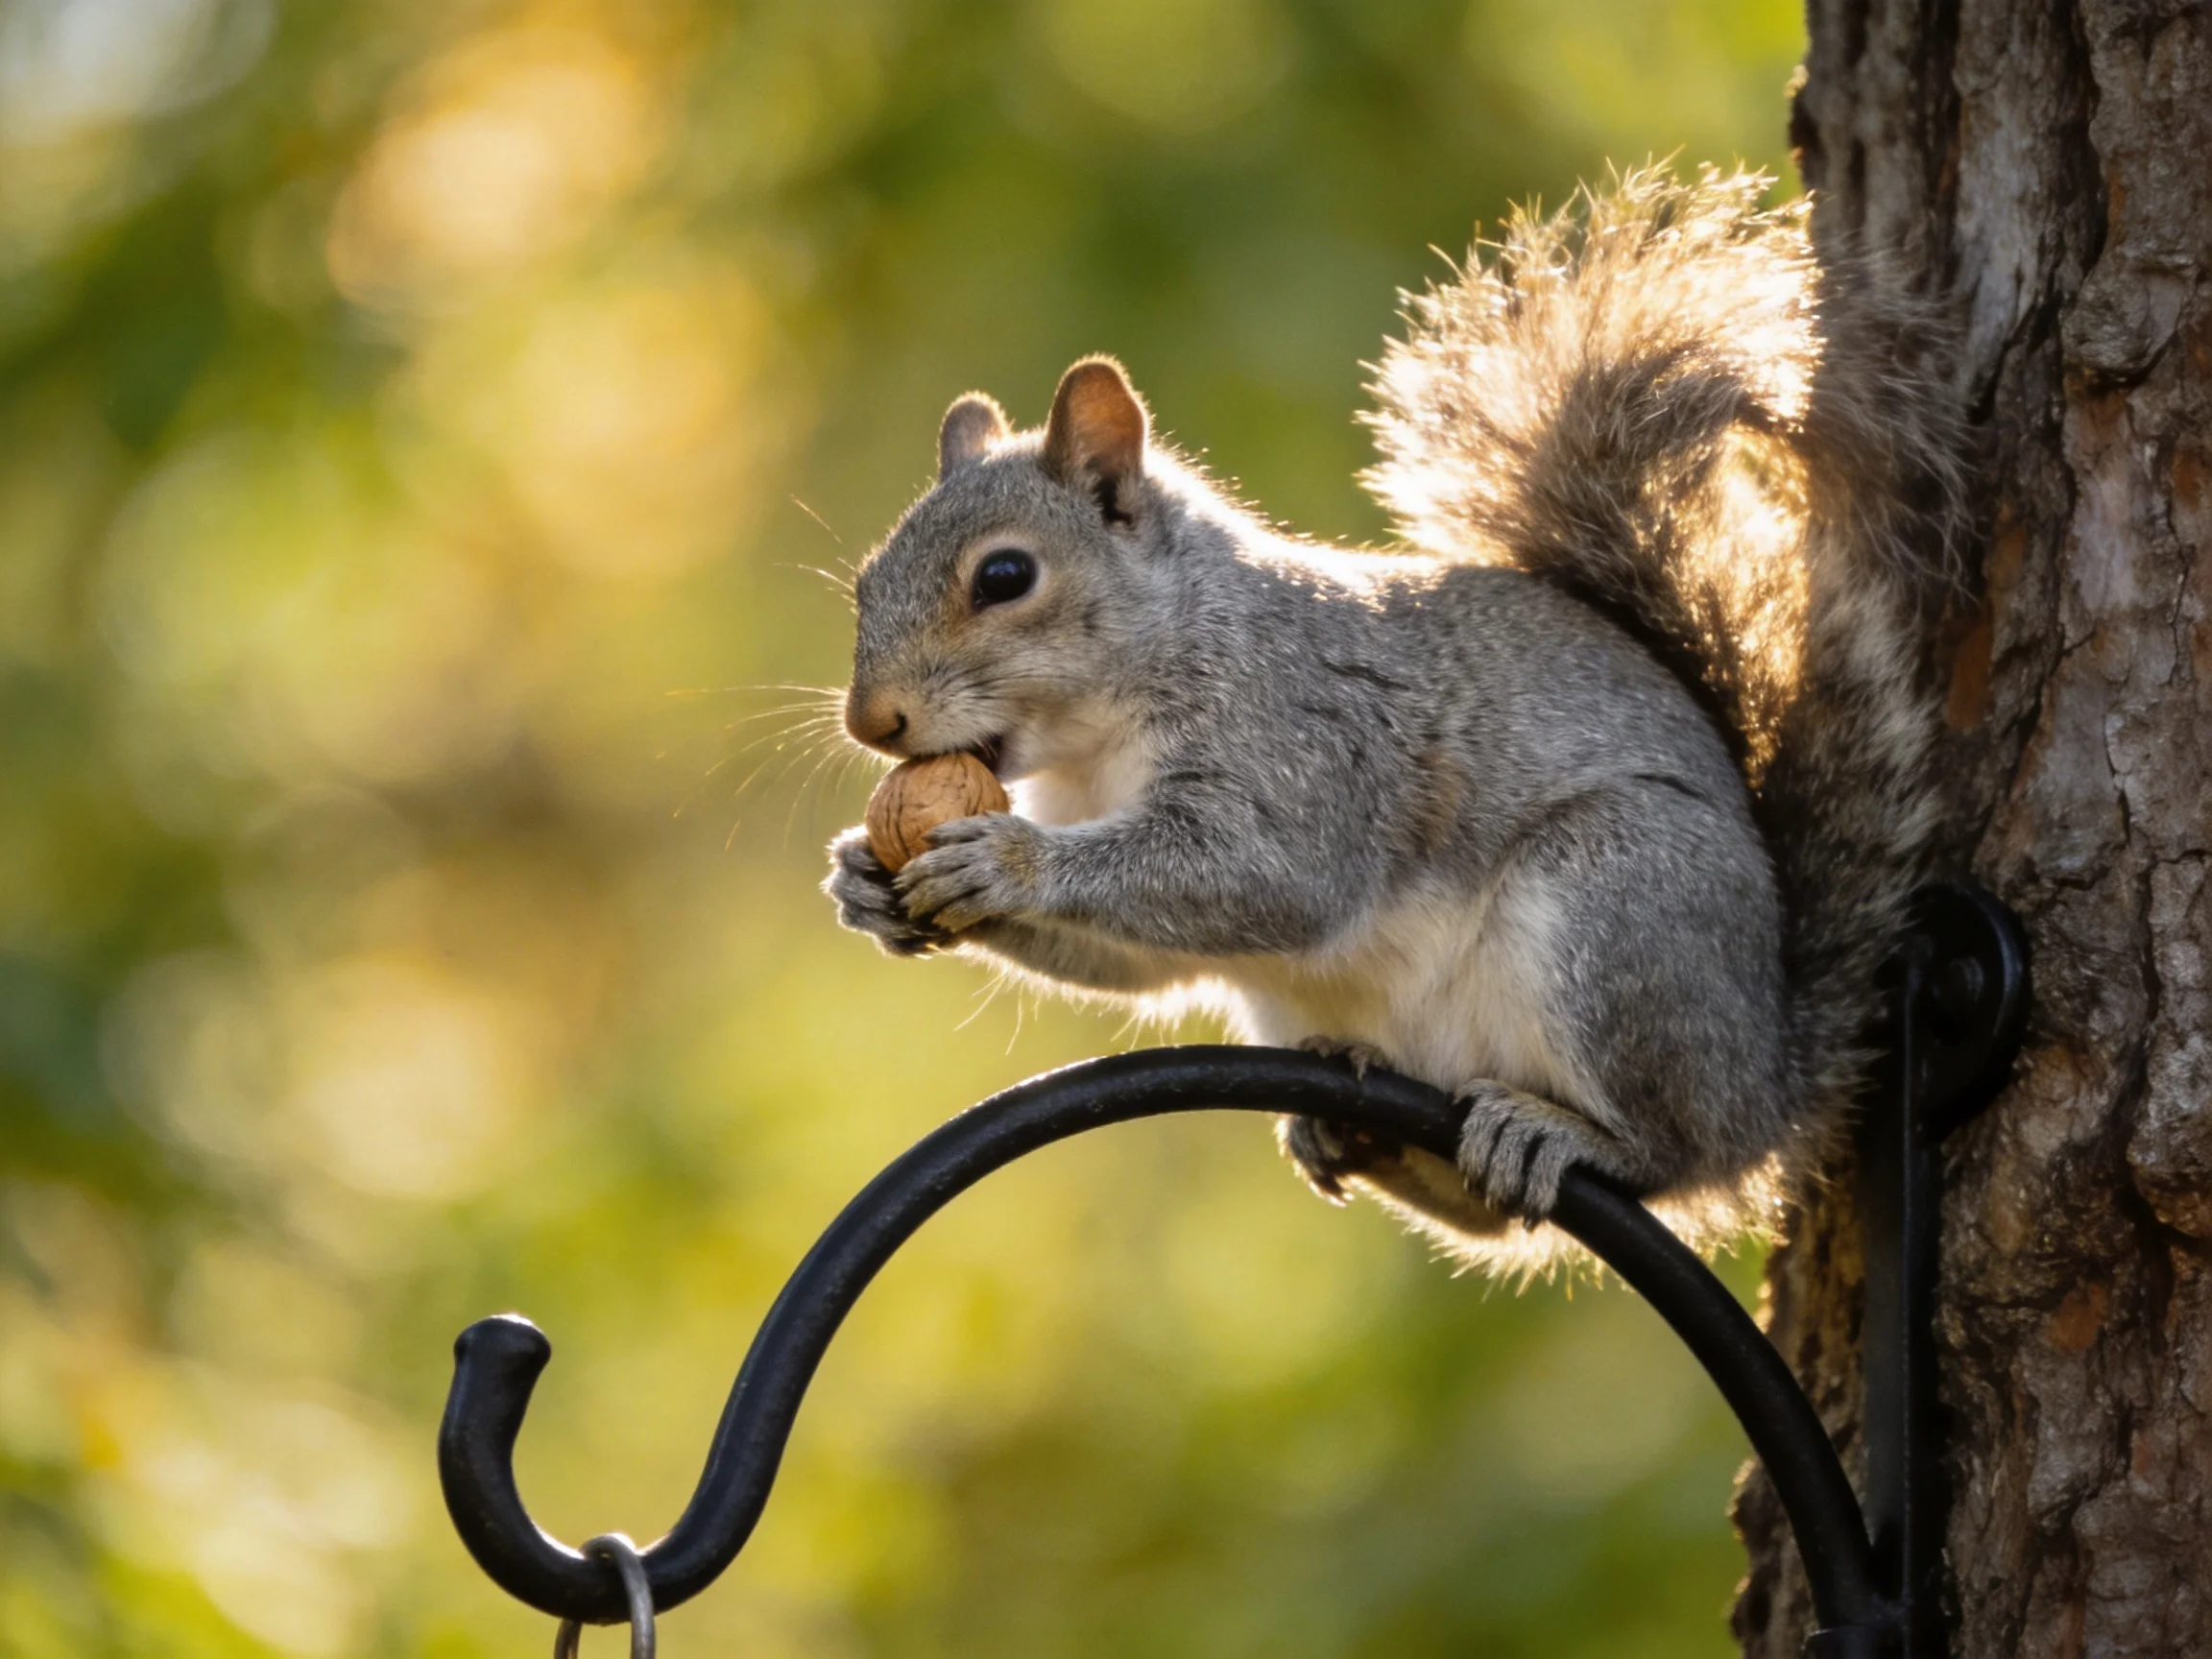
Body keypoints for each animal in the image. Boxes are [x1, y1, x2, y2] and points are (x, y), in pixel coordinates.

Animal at [822, 166, 1970, 1273]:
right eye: (863, 585)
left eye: (1005, 577)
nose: (873, 723)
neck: (1108, 728)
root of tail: (1771, 1078)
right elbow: (1146, 963)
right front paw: (867, 882)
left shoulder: (1304, 742)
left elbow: (1267, 878)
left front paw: (1004, 862)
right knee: (1489, 1211)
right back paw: (1361, 1131)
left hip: (1622, 901)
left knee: (1664, 1156)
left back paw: (1566, 1132)